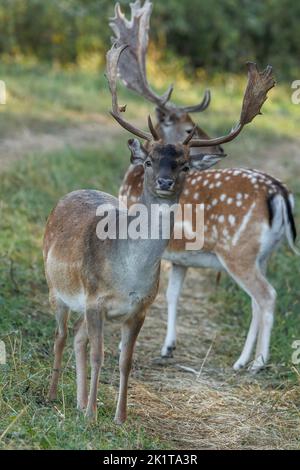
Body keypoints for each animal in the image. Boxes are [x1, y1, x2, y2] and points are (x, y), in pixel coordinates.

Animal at [110, 0, 298, 374]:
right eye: (187, 126)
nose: (219, 151)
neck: (132, 184)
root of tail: (279, 193)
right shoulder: (181, 256)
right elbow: (173, 294)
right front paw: (168, 347)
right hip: (264, 254)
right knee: (257, 301)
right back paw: (243, 360)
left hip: (238, 250)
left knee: (266, 296)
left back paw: (256, 363)